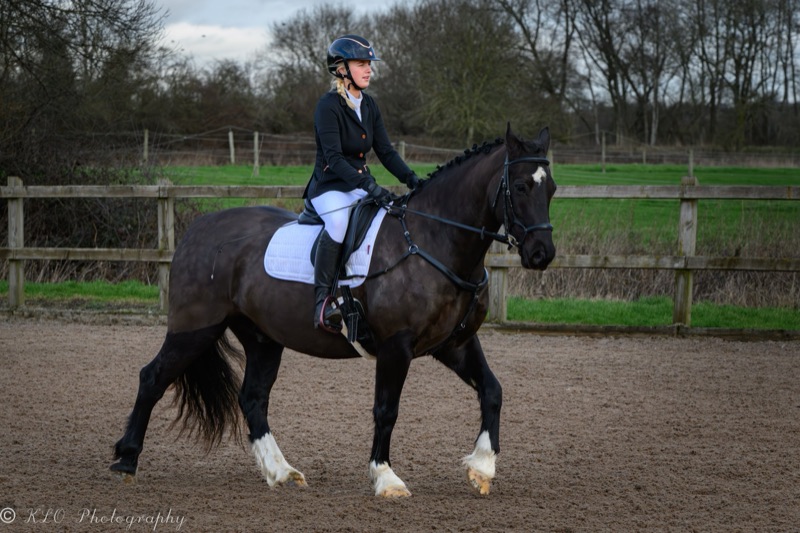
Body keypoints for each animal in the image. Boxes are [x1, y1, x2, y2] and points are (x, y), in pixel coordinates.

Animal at [110, 123, 556, 497]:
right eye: (519, 186)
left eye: (550, 188)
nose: (542, 254)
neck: (434, 240)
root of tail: (198, 230)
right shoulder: (396, 348)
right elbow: (386, 410)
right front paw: (386, 478)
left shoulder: (455, 344)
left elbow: (492, 391)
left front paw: (482, 467)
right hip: (195, 329)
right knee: (152, 378)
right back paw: (126, 460)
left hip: (262, 337)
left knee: (253, 398)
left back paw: (281, 472)